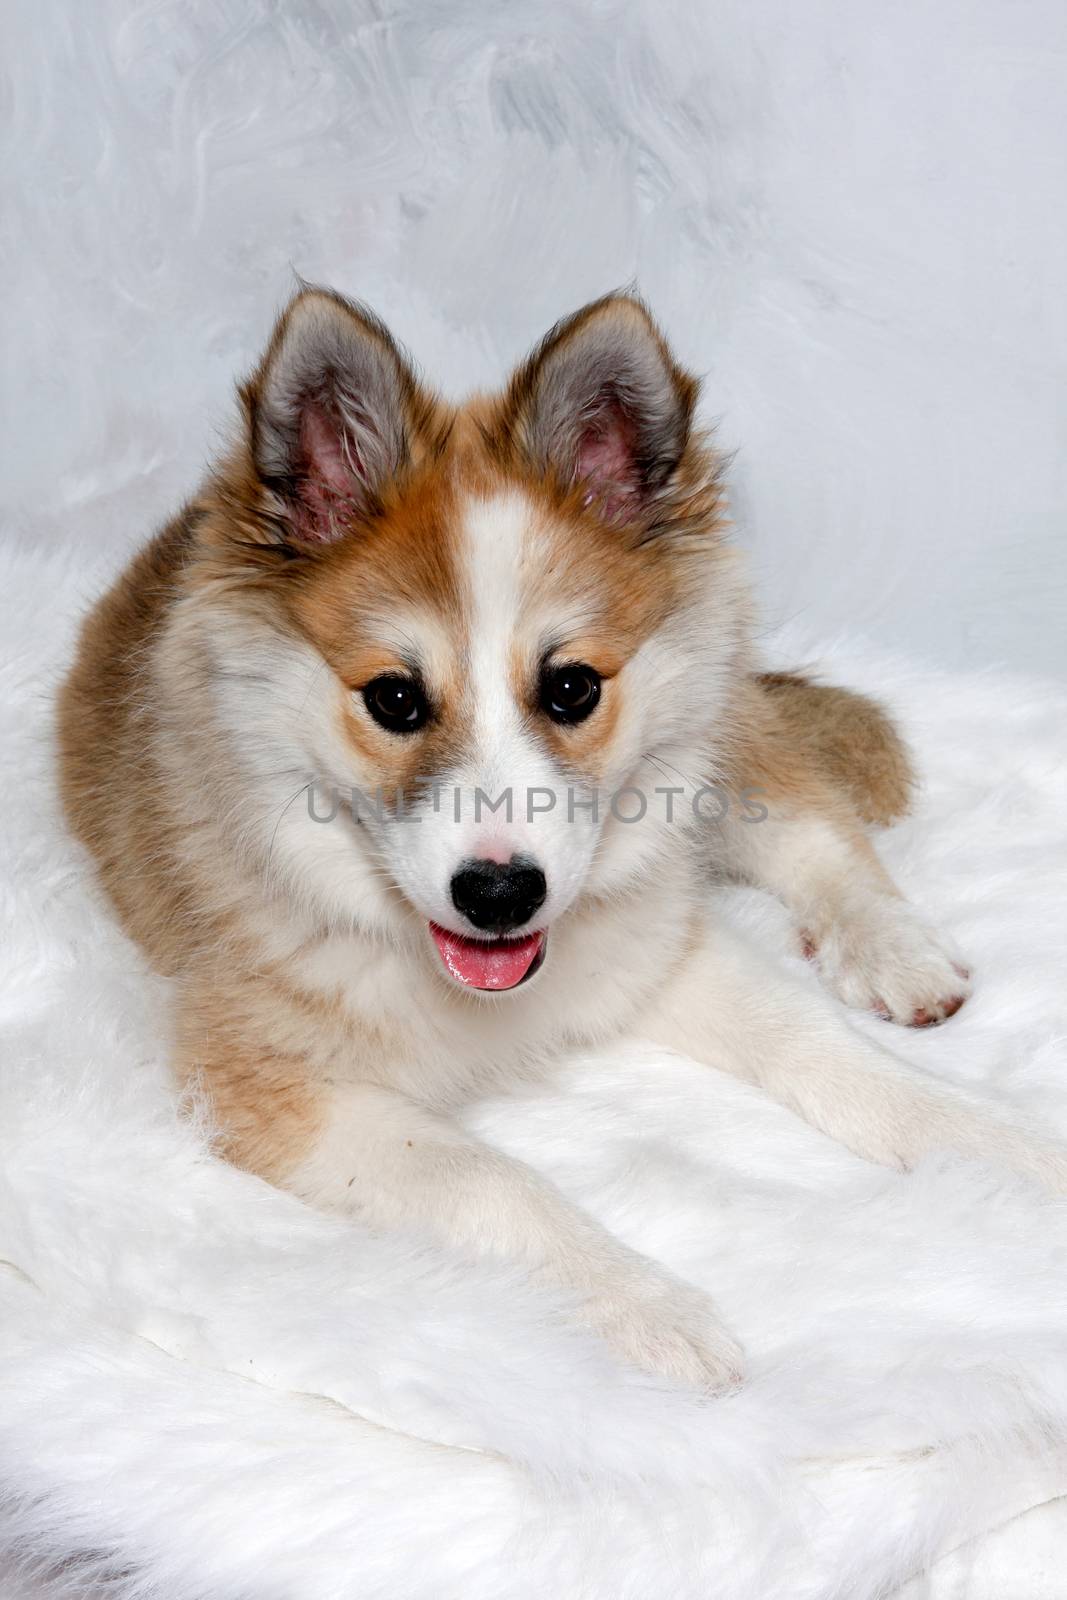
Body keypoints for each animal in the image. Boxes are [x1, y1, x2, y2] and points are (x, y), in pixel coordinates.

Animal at [58, 288, 1067, 1388]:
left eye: (572, 687)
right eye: (393, 699)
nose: (500, 897)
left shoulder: (650, 947)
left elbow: (815, 1042)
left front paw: (992, 1140)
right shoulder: (264, 1083)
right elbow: (485, 1178)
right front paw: (649, 1305)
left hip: (719, 728)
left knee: (808, 816)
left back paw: (890, 945)